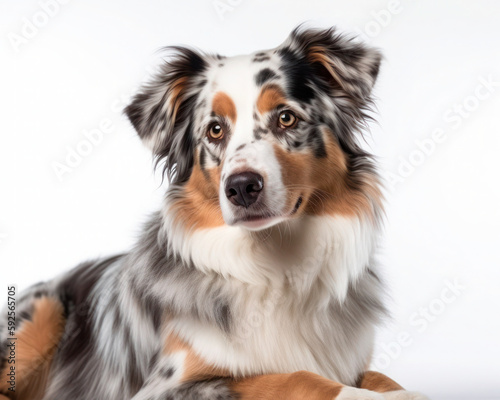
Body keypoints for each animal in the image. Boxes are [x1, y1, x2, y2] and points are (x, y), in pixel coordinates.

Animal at [0, 26, 430, 398]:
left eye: (286, 117)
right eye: (215, 130)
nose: (241, 187)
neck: (277, 265)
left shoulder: (352, 361)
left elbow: (382, 377)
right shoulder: (168, 387)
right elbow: (291, 376)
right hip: (41, 316)